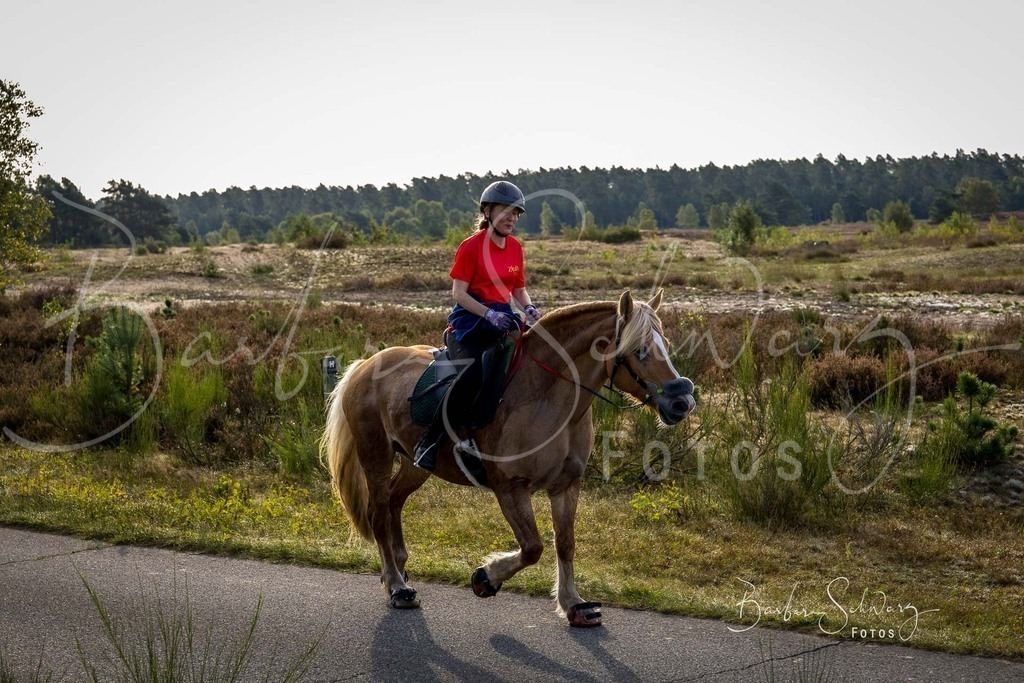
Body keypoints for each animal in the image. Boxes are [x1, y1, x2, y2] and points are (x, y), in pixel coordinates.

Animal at [321, 289, 695, 627]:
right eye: (640, 350)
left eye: (665, 344)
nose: (682, 402)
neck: (548, 396)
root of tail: (365, 365)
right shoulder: (510, 488)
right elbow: (533, 547)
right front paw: (486, 577)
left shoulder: (566, 486)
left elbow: (565, 544)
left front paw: (573, 604)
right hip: (376, 456)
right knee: (378, 513)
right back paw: (396, 586)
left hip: (416, 465)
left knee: (394, 502)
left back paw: (399, 568)